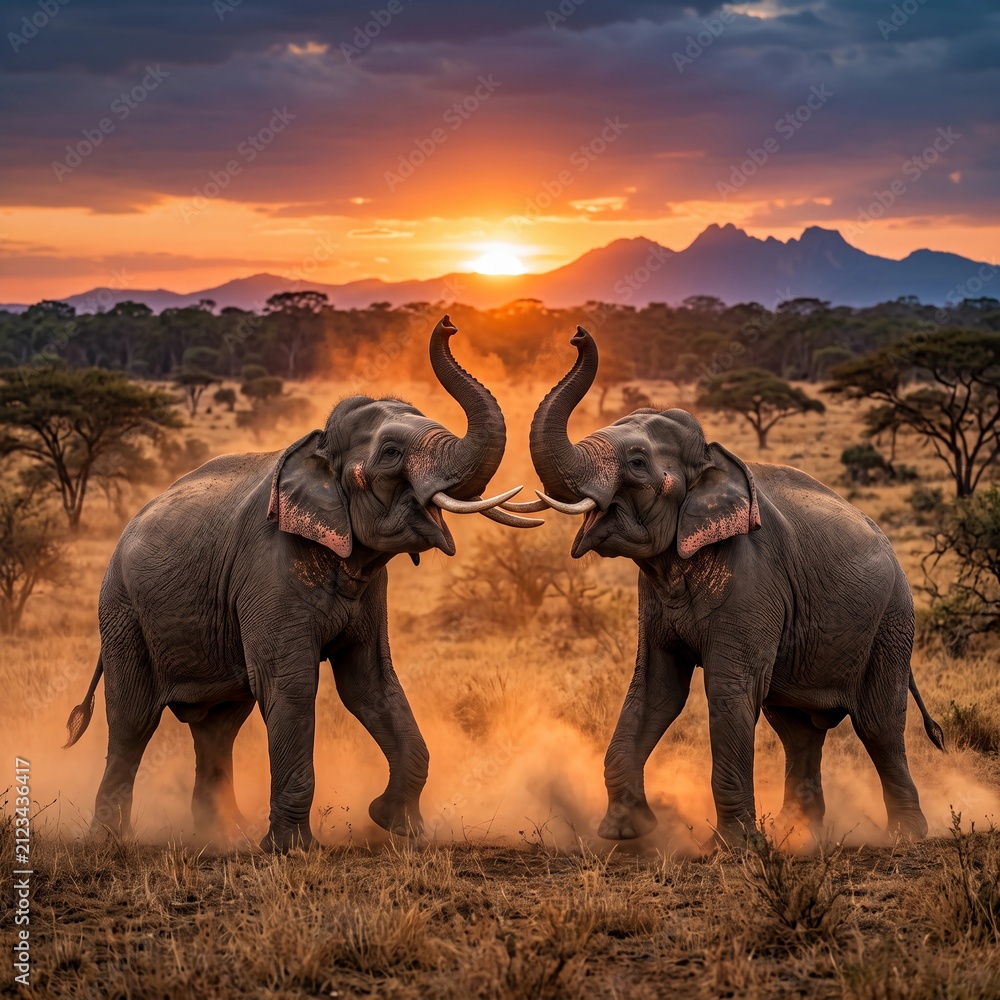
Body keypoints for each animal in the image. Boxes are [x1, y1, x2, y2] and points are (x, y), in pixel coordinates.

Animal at [64, 316, 540, 852]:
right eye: (391, 453)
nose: (449, 323)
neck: (318, 449)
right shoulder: (269, 567)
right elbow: (290, 687)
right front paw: (293, 850)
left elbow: (370, 683)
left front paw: (399, 826)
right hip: (122, 610)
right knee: (133, 719)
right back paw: (111, 841)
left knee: (219, 725)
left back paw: (222, 834)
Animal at [529, 327, 944, 847]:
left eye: (638, 462)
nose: (578, 335)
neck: (712, 457)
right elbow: (656, 688)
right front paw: (625, 832)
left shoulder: (753, 579)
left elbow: (730, 689)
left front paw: (732, 849)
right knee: (796, 727)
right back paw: (799, 834)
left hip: (891, 620)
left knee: (879, 724)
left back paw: (905, 837)